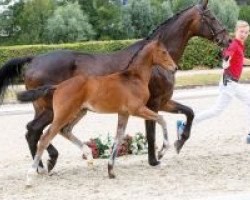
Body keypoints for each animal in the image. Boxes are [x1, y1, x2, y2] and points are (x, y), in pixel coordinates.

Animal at [19, 39, 176, 184]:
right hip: (63, 114)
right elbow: (162, 119)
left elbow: (118, 138)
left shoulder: (123, 113)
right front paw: (162, 152)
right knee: (45, 138)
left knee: (65, 130)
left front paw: (111, 170)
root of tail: (57, 86)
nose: (174, 67)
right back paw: (31, 175)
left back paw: (88, 156)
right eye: (164, 52)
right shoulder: (137, 109)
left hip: (79, 112)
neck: (134, 78)